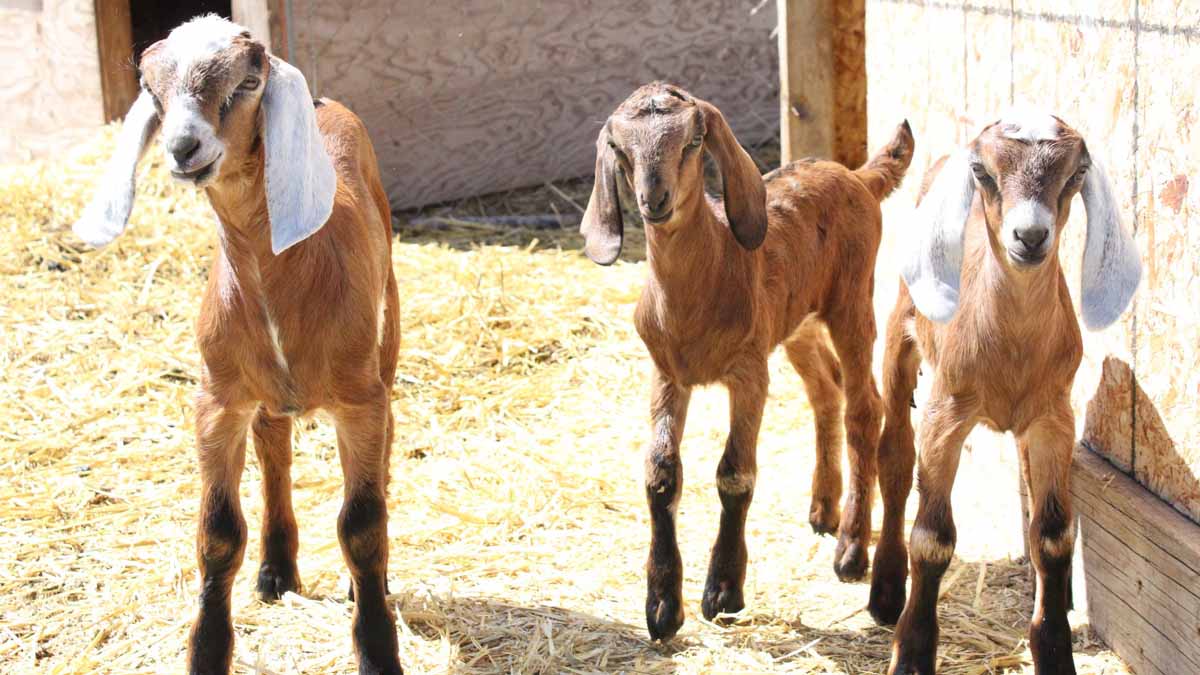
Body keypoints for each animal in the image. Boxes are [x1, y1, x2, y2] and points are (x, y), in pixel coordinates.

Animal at [73, 15, 403, 672]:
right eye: (150, 89)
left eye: (247, 82)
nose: (182, 148)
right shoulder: (217, 400)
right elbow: (218, 532)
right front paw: (207, 651)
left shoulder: (360, 401)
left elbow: (362, 525)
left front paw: (378, 649)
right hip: (266, 393)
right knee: (274, 448)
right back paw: (276, 570)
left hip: (387, 344)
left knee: (382, 453)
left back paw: (365, 585)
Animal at [578, 81, 907, 638]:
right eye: (620, 149)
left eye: (692, 141)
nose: (654, 200)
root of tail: (857, 176)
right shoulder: (667, 372)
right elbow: (660, 474)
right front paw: (662, 606)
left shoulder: (749, 371)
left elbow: (735, 473)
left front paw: (723, 591)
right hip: (796, 323)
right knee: (826, 391)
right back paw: (824, 508)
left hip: (851, 300)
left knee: (865, 408)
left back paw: (851, 550)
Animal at [868, 111, 1137, 672]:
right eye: (983, 171)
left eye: (1077, 172)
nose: (1029, 236)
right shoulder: (946, 414)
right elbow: (932, 539)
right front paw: (912, 652)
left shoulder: (1054, 418)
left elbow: (1054, 537)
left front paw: (1054, 649)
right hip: (901, 336)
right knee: (895, 456)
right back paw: (884, 592)